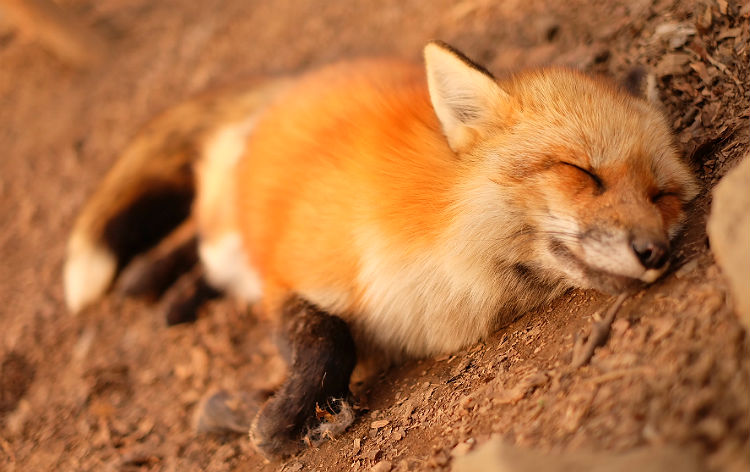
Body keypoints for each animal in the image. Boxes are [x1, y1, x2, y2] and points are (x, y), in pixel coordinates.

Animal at [63, 41, 700, 458]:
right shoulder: (292, 273)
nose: (653, 252)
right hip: (230, 236)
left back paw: (173, 300)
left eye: (663, 196)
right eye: (582, 173)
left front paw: (253, 409)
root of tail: (286, 84)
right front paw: (273, 419)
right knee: (192, 242)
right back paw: (148, 282)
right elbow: (329, 342)